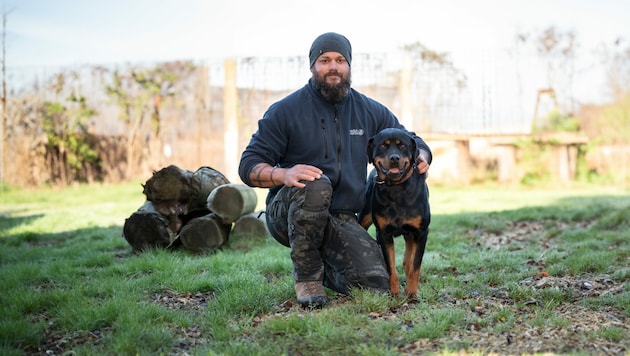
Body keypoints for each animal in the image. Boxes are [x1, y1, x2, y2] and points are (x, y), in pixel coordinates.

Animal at [360, 128, 430, 298]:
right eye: (383, 146)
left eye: (402, 146)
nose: (394, 158)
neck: (397, 188)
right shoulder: (383, 234)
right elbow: (390, 266)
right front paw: (394, 292)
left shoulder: (421, 232)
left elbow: (415, 265)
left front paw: (412, 293)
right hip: (365, 217)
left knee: (409, 257)